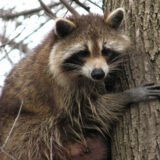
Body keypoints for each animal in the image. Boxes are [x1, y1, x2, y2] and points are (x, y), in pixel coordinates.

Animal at [0, 7, 160, 160]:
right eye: (83, 53)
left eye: (105, 51)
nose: (98, 74)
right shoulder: (62, 89)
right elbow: (86, 113)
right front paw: (127, 96)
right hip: (20, 134)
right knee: (40, 132)